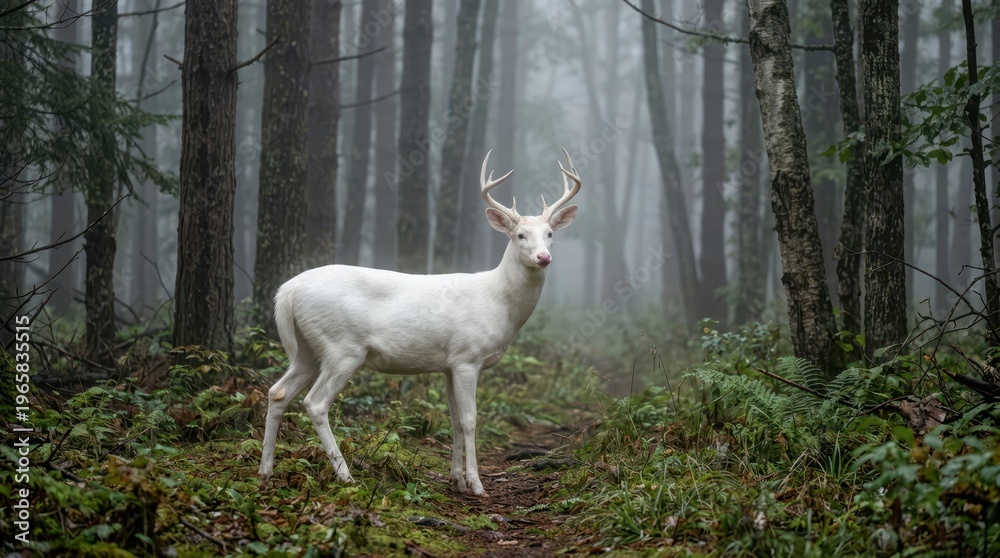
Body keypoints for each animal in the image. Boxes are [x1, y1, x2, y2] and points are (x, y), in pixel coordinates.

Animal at [258, 149, 581, 496]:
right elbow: (470, 419)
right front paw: (477, 484)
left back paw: (265, 472)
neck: (497, 301)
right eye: (520, 235)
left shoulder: (449, 364)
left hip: (308, 349)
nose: (543, 257)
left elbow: (454, 419)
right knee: (315, 403)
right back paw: (346, 476)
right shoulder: (467, 358)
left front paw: (456, 481)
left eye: (550, 234)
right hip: (342, 347)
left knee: (277, 392)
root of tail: (287, 292)